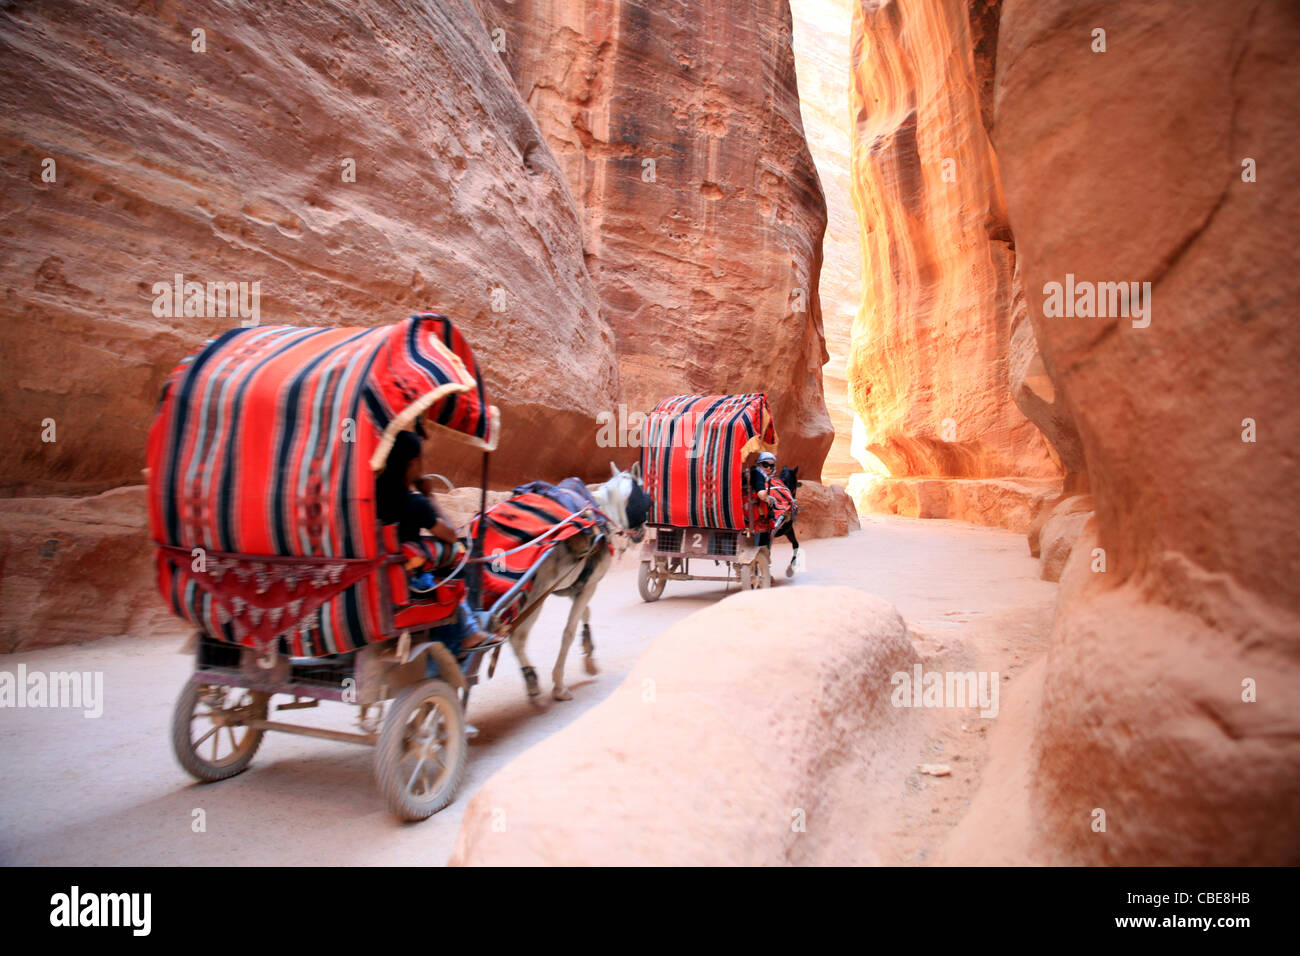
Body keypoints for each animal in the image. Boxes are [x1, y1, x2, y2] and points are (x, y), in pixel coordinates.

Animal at [506, 463, 650, 702]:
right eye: (647, 500)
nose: (642, 533)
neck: (601, 517)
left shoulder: (575, 585)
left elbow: (586, 613)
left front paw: (589, 650)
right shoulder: (589, 585)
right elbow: (569, 631)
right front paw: (559, 685)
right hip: (534, 598)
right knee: (517, 637)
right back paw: (532, 680)